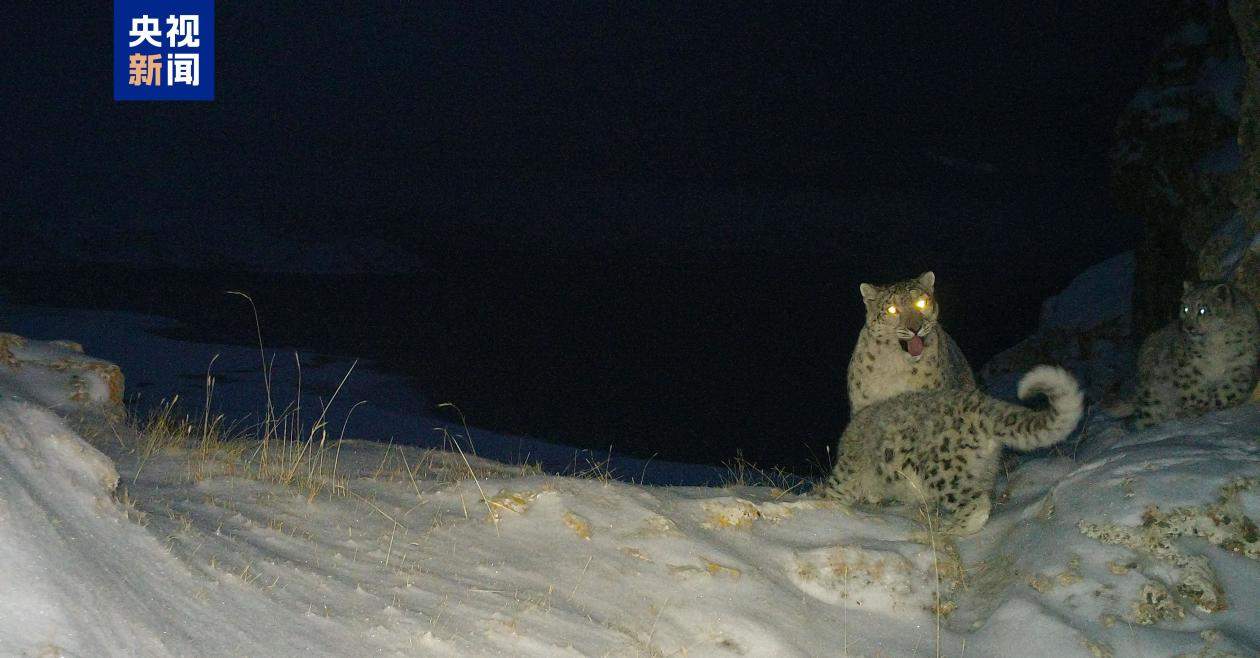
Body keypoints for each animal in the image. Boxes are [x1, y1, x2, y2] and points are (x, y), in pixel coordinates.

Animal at [816, 363, 1083, 531]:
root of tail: (980, 404)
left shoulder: (845, 474)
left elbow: (833, 493)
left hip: (943, 472)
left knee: (976, 504)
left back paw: (952, 528)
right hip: (983, 471)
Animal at [1134, 278, 1260, 428]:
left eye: (1202, 310)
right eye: (1185, 308)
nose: (1188, 327)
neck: (1216, 343)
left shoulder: (1240, 364)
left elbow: (1230, 388)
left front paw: (1218, 404)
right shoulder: (1187, 366)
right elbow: (1193, 388)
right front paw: (1197, 407)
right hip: (1152, 393)